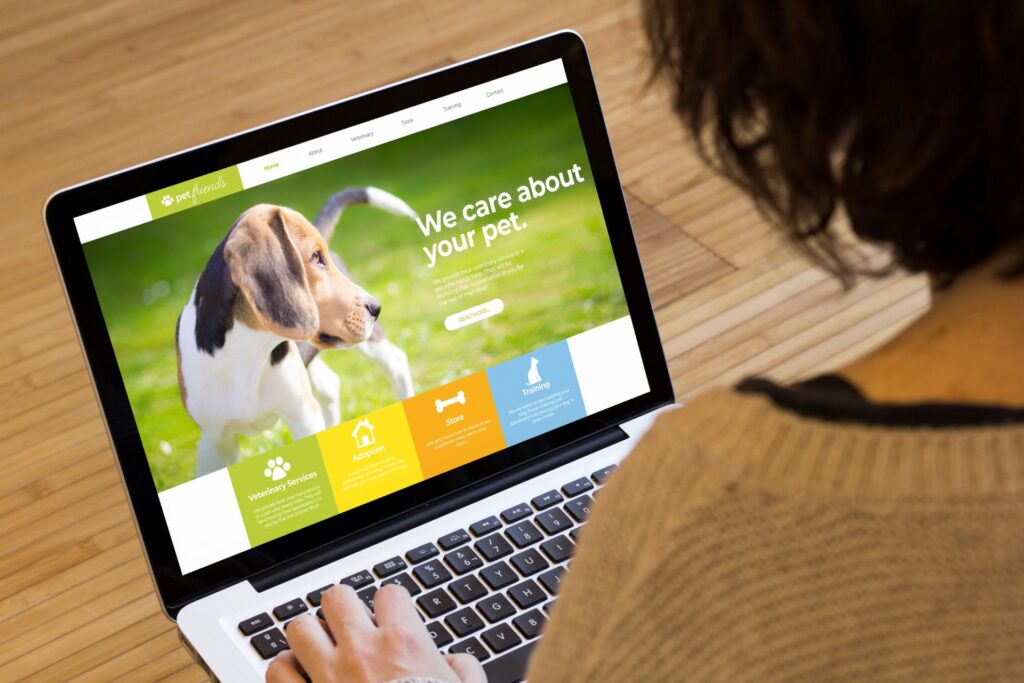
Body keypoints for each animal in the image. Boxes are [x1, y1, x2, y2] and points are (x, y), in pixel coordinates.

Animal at [179, 187, 415, 475]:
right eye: (315, 257)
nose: (376, 307)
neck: (249, 353)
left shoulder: (303, 414)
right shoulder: (214, 441)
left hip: (370, 345)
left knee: (396, 362)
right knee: (329, 385)